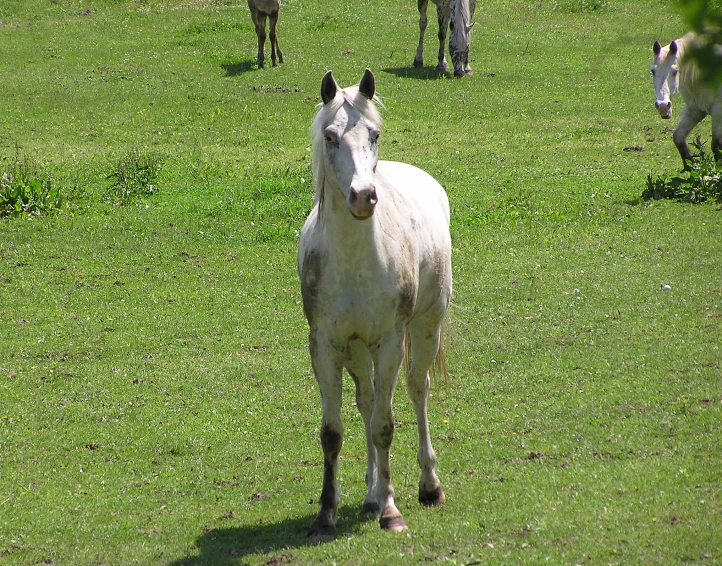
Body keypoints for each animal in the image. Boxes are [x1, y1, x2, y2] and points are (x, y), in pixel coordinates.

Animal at [296, 69, 450, 540]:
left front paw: (391, 511)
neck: (355, 260)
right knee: (365, 400)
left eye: (374, 134)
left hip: (426, 325)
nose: (364, 195)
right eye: (330, 136)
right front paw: (326, 514)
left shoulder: (389, 341)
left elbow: (384, 426)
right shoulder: (326, 345)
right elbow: (333, 431)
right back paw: (370, 493)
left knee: (417, 389)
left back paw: (428, 486)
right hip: (357, 348)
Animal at [648, 33, 720, 168]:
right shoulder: (694, 110)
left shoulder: (718, 110)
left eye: (675, 71)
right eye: (653, 71)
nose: (662, 106)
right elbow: (678, 138)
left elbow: (717, 146)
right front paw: (692, 167)